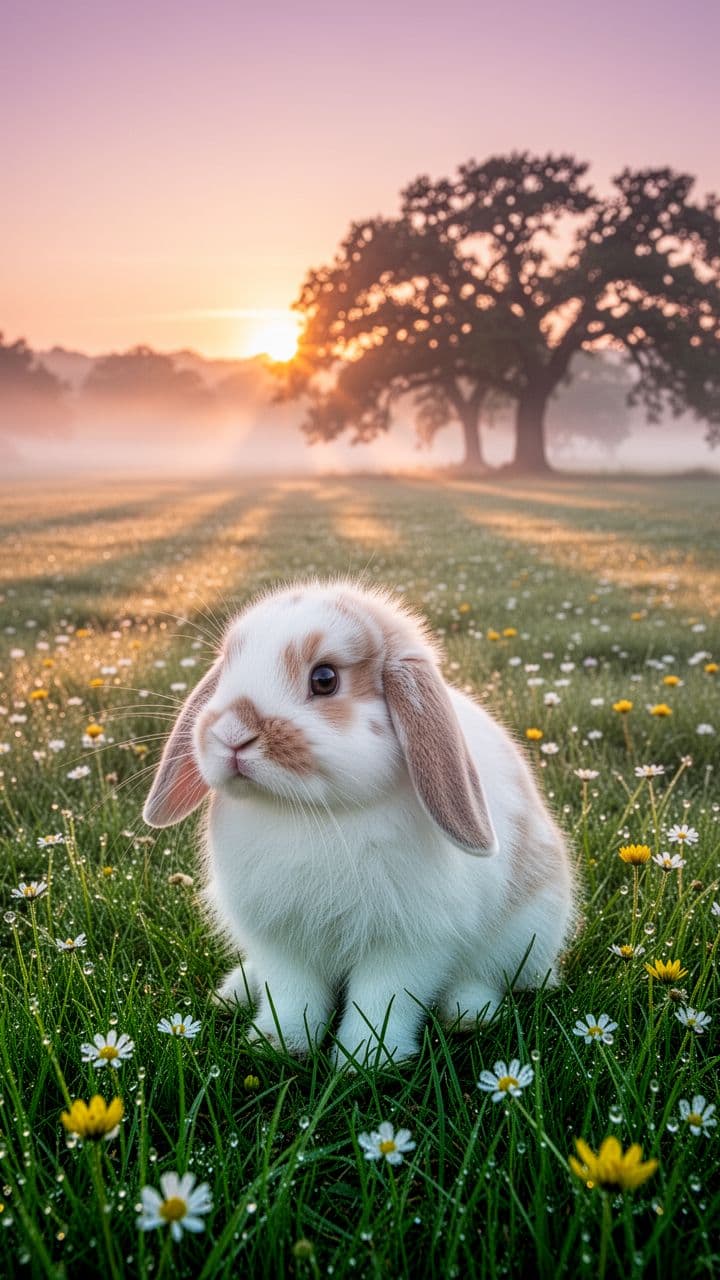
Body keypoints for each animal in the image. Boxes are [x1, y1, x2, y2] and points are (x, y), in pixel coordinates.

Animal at [143, 579, 576, 1067]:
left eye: (325, 679)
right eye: (228, 666)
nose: (230, 733)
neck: (308, 813)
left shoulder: (408, 946)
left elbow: (382, 1000)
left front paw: (367, 1058)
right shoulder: (282, 942)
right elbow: (292, 995)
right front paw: (278, 1043)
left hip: (524, 934)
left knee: (485, 974)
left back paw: (469, 1013)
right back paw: (234, 991)